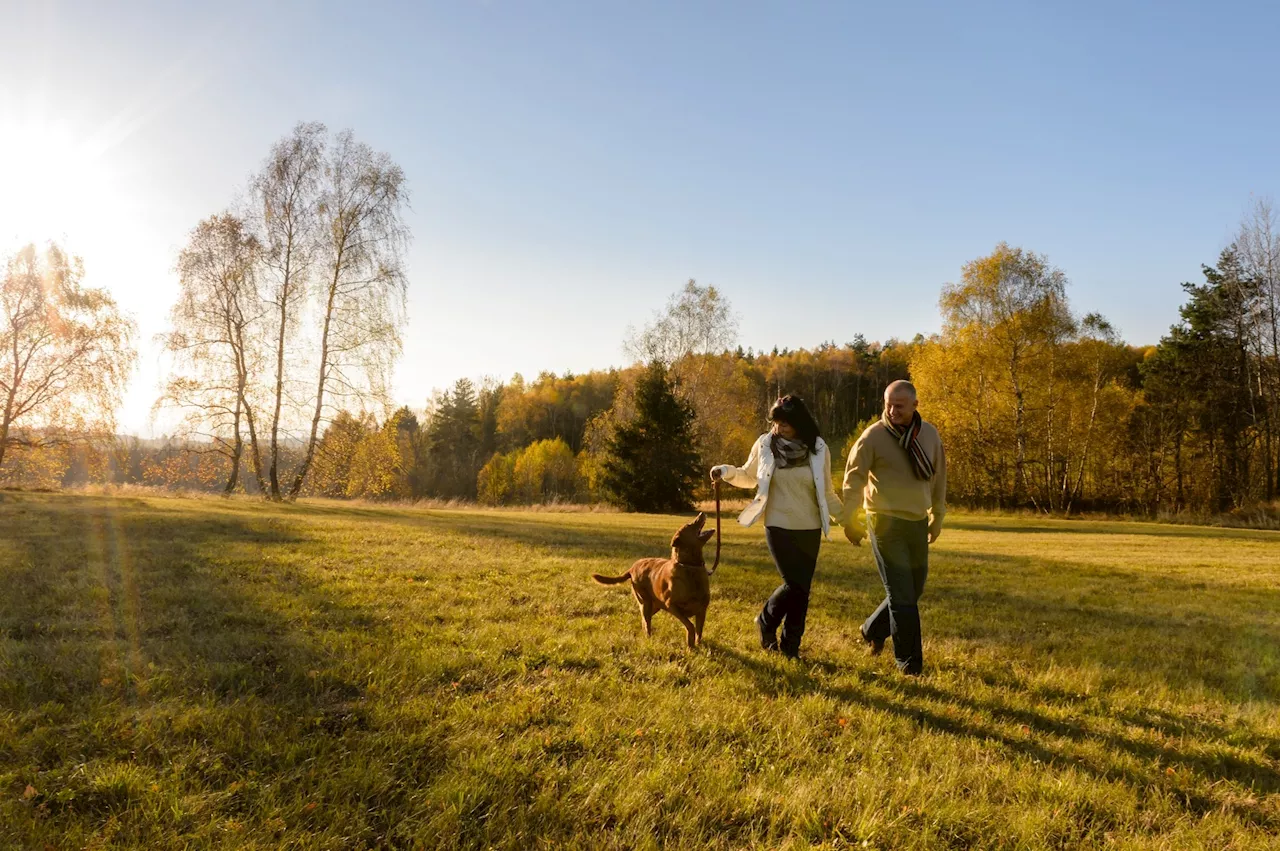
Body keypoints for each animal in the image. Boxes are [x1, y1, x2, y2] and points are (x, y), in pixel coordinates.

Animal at [591, 514, 716, 647]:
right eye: (689, 525)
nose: (701, 513)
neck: (689, 566)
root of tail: (632, 568)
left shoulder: (702, 610)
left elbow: (699, 631)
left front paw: (697, 645)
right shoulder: (671, 606)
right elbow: (690, 626)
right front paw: (690, 645)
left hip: (654, 605)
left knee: (644, 621)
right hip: (645, 602)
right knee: (647, 622)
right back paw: (648, 639)